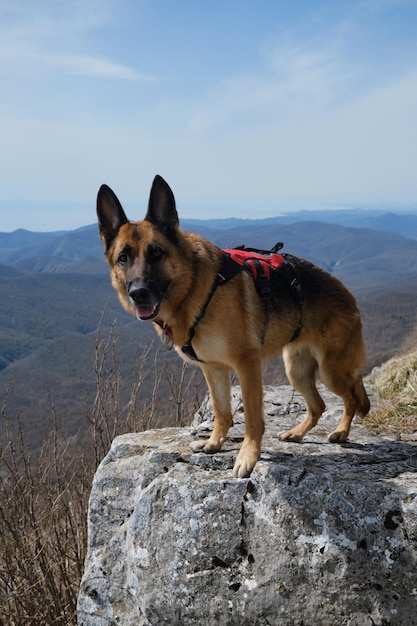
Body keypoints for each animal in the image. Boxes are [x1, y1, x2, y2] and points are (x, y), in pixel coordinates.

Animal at [96, 173, 368, 476]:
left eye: (156, 253)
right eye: (123, 258)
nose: (138, 293)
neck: (193, 288)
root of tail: (349, 296)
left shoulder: (247, 365)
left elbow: (251, 418)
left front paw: (247, 456)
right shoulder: (213, 369)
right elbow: (222, 411)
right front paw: (214, 443)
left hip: (332, 371)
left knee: (352, 398)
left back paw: (341, 432)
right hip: (296, 371)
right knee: (318, 405)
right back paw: (296, 433)